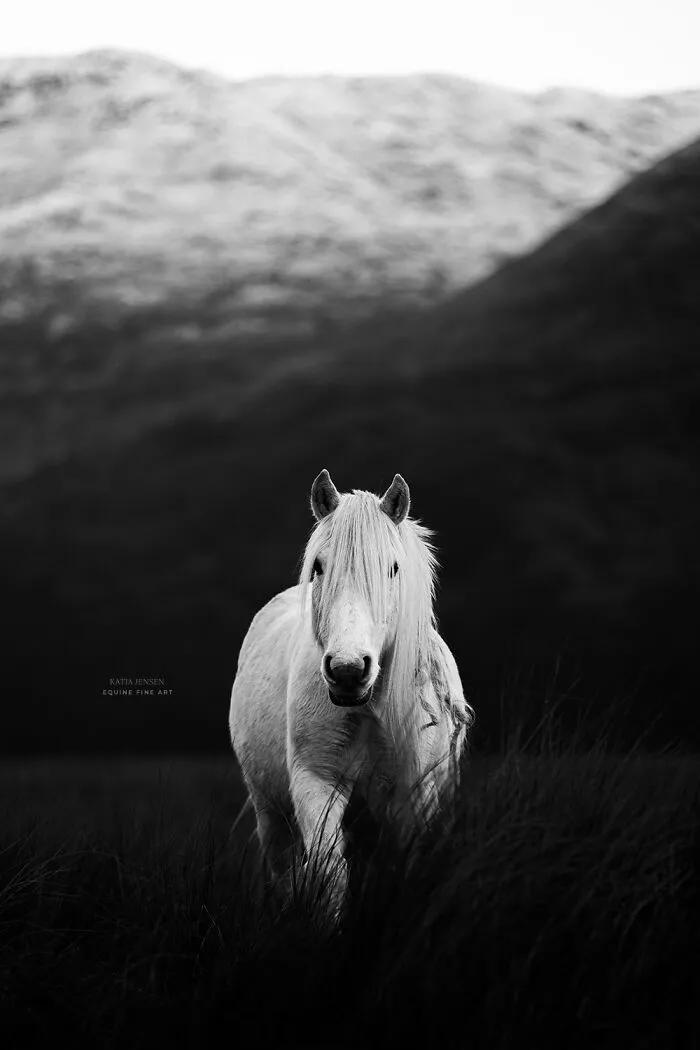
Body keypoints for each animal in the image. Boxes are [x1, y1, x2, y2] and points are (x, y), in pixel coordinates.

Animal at [229, 469, 473, 913]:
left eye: (393, 569)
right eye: (318, 566)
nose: (347, 670)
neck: (370, 709)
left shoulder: (413, 796)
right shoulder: (316, 781)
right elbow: (329, 875)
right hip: (270, 810)